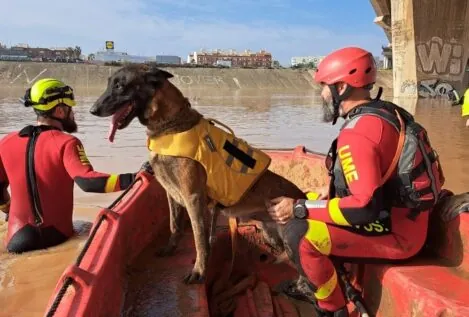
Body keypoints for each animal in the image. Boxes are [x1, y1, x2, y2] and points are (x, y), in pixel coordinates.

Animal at [89, 64, 306, 284]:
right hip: (269, 233)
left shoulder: (193, 198)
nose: (93, 110)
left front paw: (199, 271)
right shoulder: (171, 192)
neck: (169, 124)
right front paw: (170, 248)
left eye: (120, 85)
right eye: (109, 83)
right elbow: (174, 224)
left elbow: (199, 239)